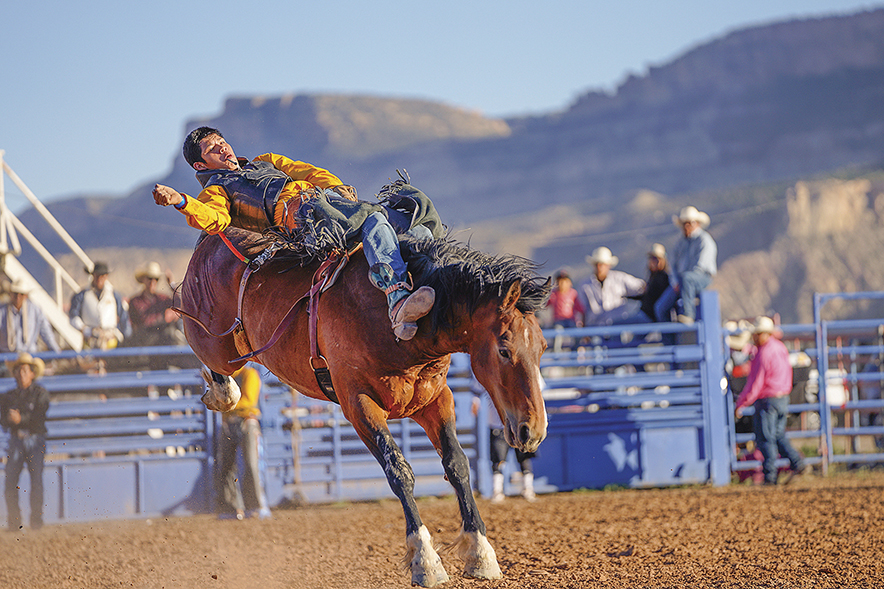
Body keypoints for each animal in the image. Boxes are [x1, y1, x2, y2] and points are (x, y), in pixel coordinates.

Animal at [180, 229, 552, 584]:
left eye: (543, 347)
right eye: (504, 349)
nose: (532, 430)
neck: (397, 325)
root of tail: (211, 239)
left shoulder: (436, 399)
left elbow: (457, 465)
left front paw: (481, 553)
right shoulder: (359, 405)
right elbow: (399, 471)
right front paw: (425, 560)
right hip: (213, 341)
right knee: (208, 355)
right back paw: (221, 391)